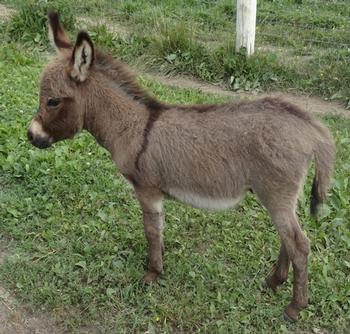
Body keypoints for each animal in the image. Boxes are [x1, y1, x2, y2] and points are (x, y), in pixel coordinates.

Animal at [26, 12, 334, 320]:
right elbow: (159, 229)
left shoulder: (146, 189)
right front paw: (158, 264)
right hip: (280, 197)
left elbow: (151, 231)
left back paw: (294, 306)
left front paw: (152, 274)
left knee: (299, 245)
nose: (31, 136)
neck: (133, 127)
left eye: (52, 101)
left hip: (276, 194)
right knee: (288, 239)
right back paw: (274, 281)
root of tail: (309, 127)